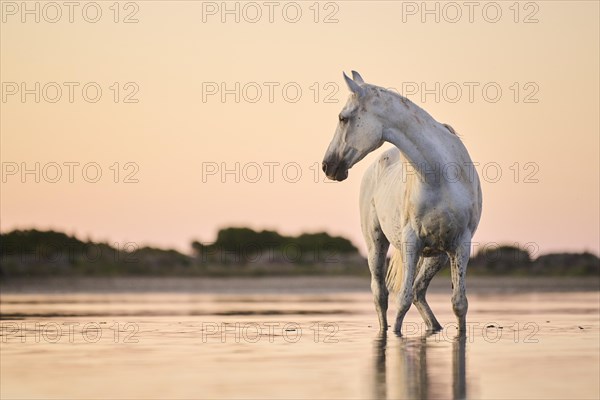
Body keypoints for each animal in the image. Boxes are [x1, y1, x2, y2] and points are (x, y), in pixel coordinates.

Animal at [322, 71, 480, 334]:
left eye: (343, 118)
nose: (327, 166)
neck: (439, 175)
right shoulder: (411, 242)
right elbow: (402, 300)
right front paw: (395, 335)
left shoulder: (461, 244)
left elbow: (459, 303)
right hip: (376, 245)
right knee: (382, 294)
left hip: (437, 255)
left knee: (418, 292)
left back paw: (435, 328)